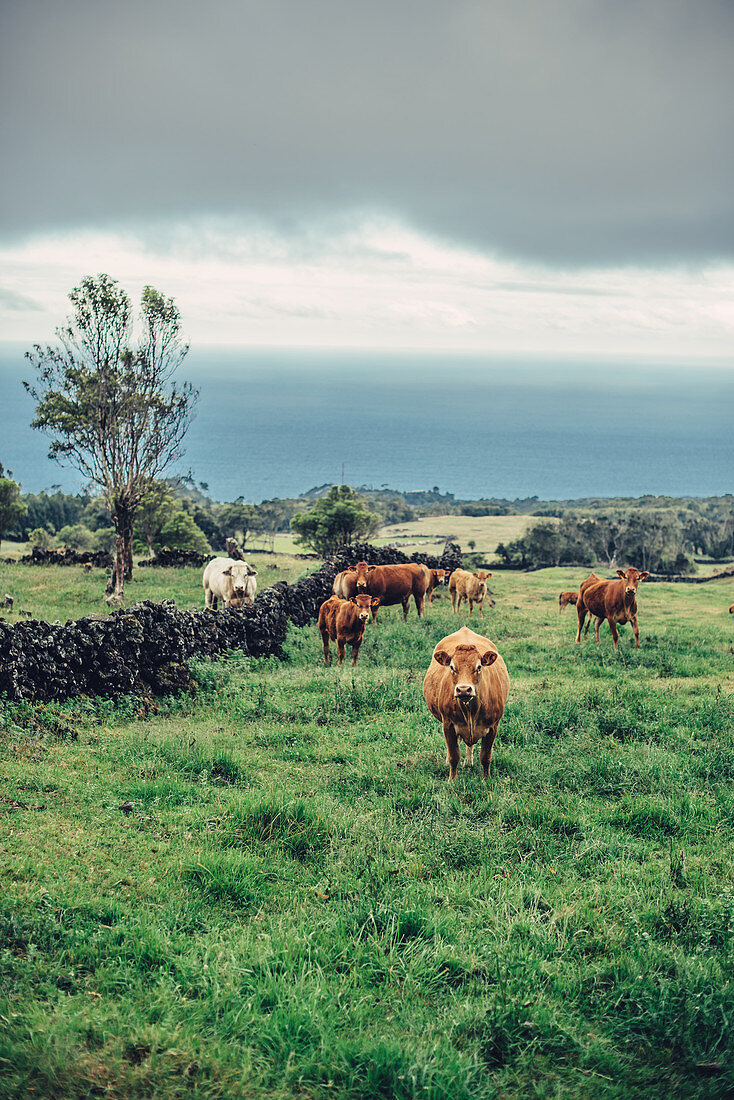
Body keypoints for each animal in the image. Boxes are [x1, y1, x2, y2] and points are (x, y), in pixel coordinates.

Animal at [422, 629, 508, 783]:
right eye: (452, 667)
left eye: (479, 667)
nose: (463, 689)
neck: (471, 711)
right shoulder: (448, 725)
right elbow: (454, 755)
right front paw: (452, 780)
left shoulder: (493, 727)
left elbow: (486, 756)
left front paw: (486, 779)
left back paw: (468, 761)